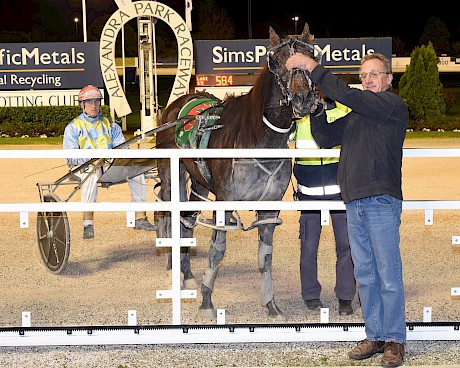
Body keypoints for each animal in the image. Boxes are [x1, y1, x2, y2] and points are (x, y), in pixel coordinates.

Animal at [155, 23, 320, 320]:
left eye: (310, 56)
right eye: (277, 60)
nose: (302, 99)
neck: (258, 139)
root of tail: (176, 106)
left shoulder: (270, 206)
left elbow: (265, 256)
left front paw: (271, 305)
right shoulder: (225, 201)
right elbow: (217, 251)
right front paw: (207, 302)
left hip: (200, 184)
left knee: (187, 220)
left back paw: (187, 274)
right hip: (171, 177)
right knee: (172, 217)